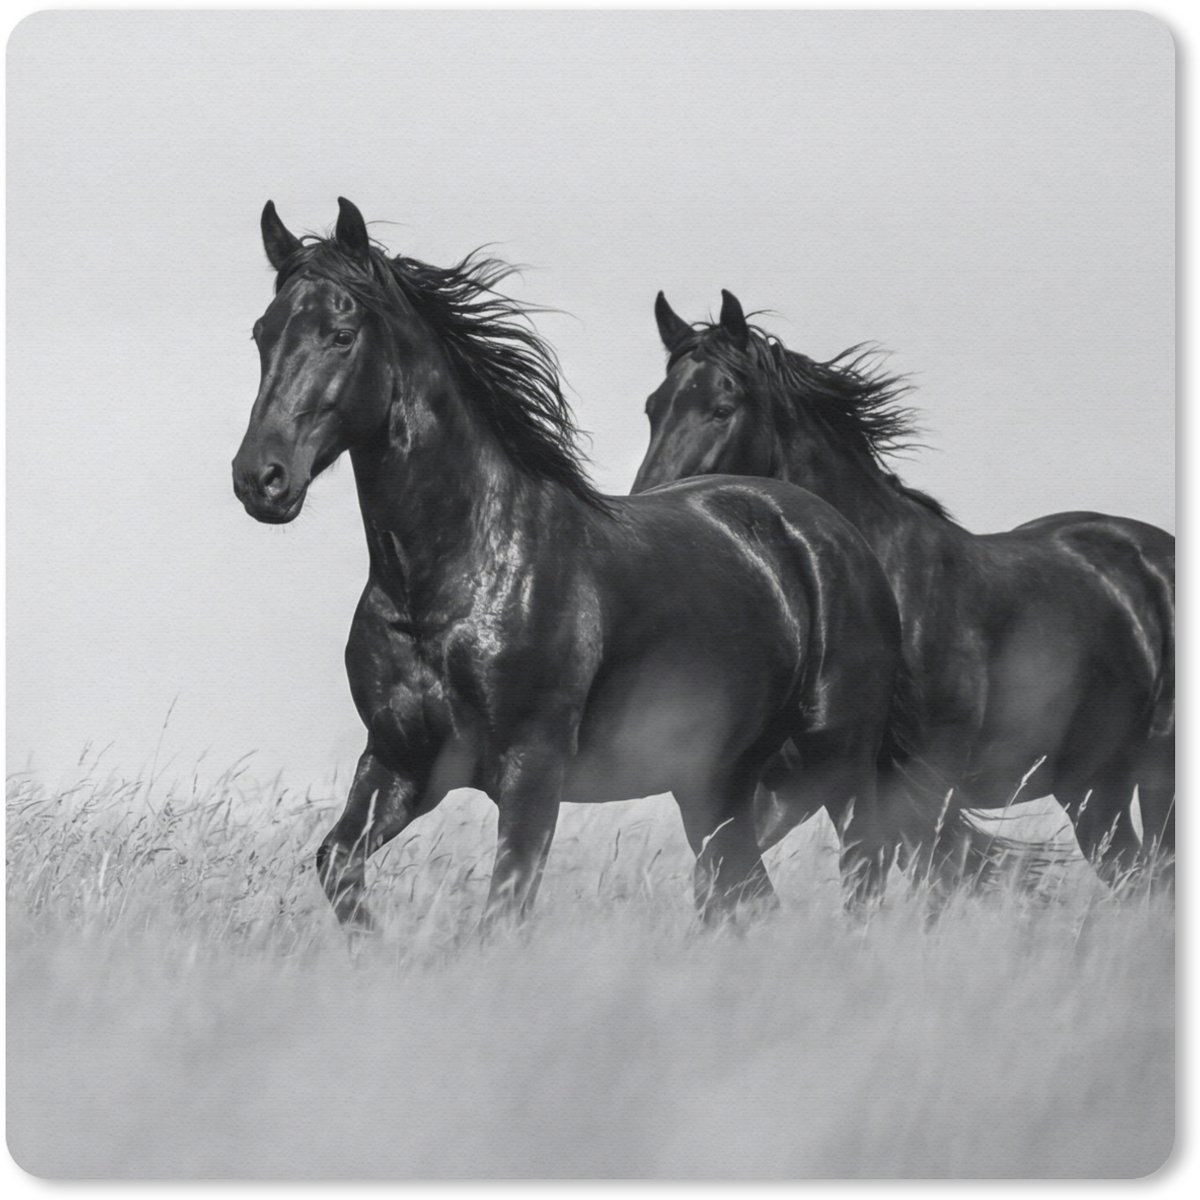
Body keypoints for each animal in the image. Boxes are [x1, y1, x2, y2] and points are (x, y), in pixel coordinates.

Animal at [231, 199, 911, 928]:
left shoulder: (532, 769)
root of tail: (833, 532)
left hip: (837, 761)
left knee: (861, 877)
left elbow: (504, 908)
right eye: (262, 333)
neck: (445, 585)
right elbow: (337, 863)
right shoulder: (398, 762)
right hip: (717, 784)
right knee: (743, 893)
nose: (260, 479)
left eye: (341, 333)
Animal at [633, 290, 1175, 888]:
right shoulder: (786, 784)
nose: (656, 516)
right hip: (1090, 784)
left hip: (1155, 775)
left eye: (722, 408)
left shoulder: (919, 788)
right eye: (654, 407)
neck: (886, 586)